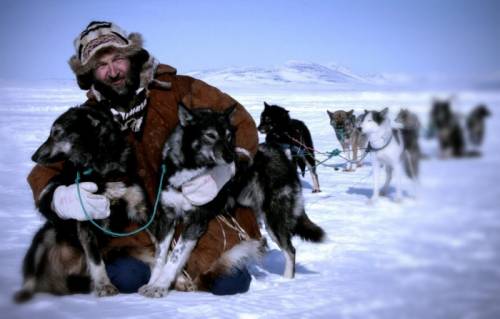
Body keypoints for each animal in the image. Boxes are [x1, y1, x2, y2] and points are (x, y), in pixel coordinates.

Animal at [13, 105, 150, 302]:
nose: (34, 156)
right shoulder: (86, 220)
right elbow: (96, 260)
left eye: (56, 133)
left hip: (117, 250)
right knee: (31, 276)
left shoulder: (141, 210)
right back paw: (24, 294)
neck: (101, 169)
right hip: (45, 236)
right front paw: (104, 286)